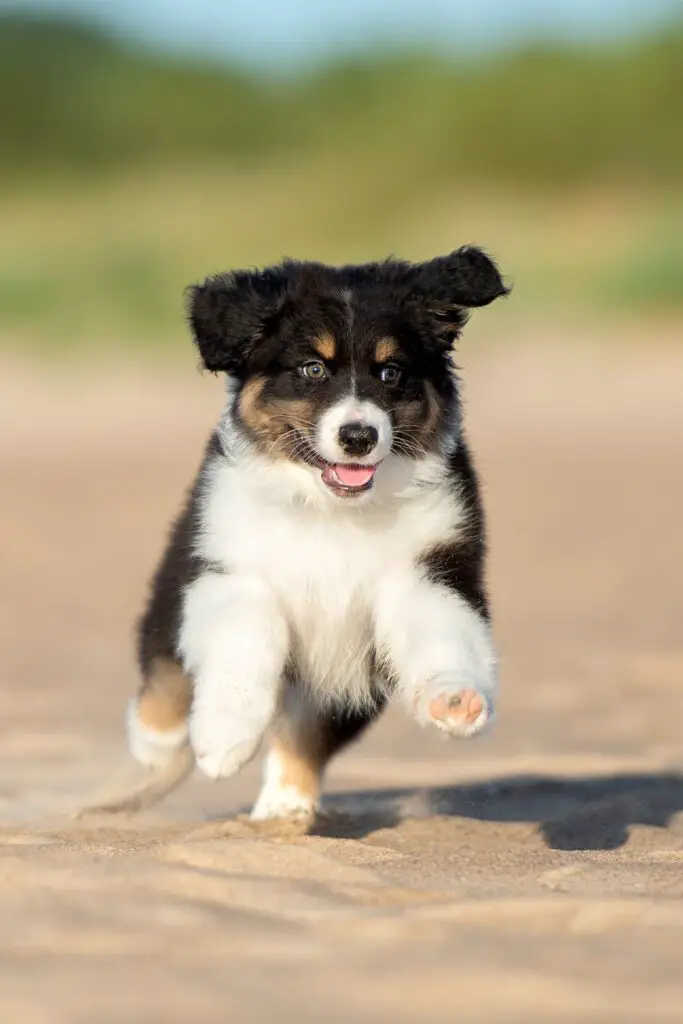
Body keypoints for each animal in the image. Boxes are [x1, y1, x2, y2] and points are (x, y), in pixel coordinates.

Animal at [82, 243, 509, 819]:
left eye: (391, 372)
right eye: (313, 368)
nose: (359, 437)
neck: (331, 512)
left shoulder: (429, 567)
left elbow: (440, 631)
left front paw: (456, 700)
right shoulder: (226, 566)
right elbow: (248, 628)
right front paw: (223, 737)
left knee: (304, 733)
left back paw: (284, 809)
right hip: (175, 582)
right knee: (164, 677)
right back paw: (158, 748)